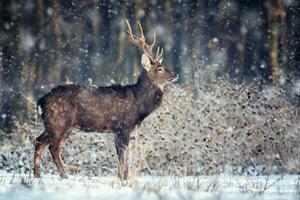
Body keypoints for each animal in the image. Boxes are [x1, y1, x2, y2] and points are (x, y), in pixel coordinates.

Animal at [33, 19, 178, 180]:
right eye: (160, 69)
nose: (176, 74)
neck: (138, 103)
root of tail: (41, 101)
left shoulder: (118, 131)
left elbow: (122, 158)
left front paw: (121, 177)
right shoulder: (123, 126)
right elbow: (123, 158)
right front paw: (124, 179)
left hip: (62, 125)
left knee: (45, 144)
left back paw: (41, 175)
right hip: (58, 121)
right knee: (46, 144)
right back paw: (56, 175)